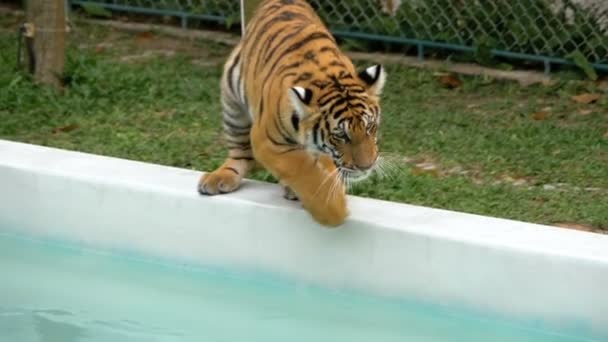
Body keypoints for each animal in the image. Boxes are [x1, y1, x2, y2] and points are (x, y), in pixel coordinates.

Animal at [202, 0, 388, 227]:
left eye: (370, 127)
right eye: (341, 136)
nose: (366, 166)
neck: (328, 76)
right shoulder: (267, 140)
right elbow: (302, 170)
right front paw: (335, 211)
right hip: (233, 104)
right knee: (241, 154)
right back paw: (220, 178)